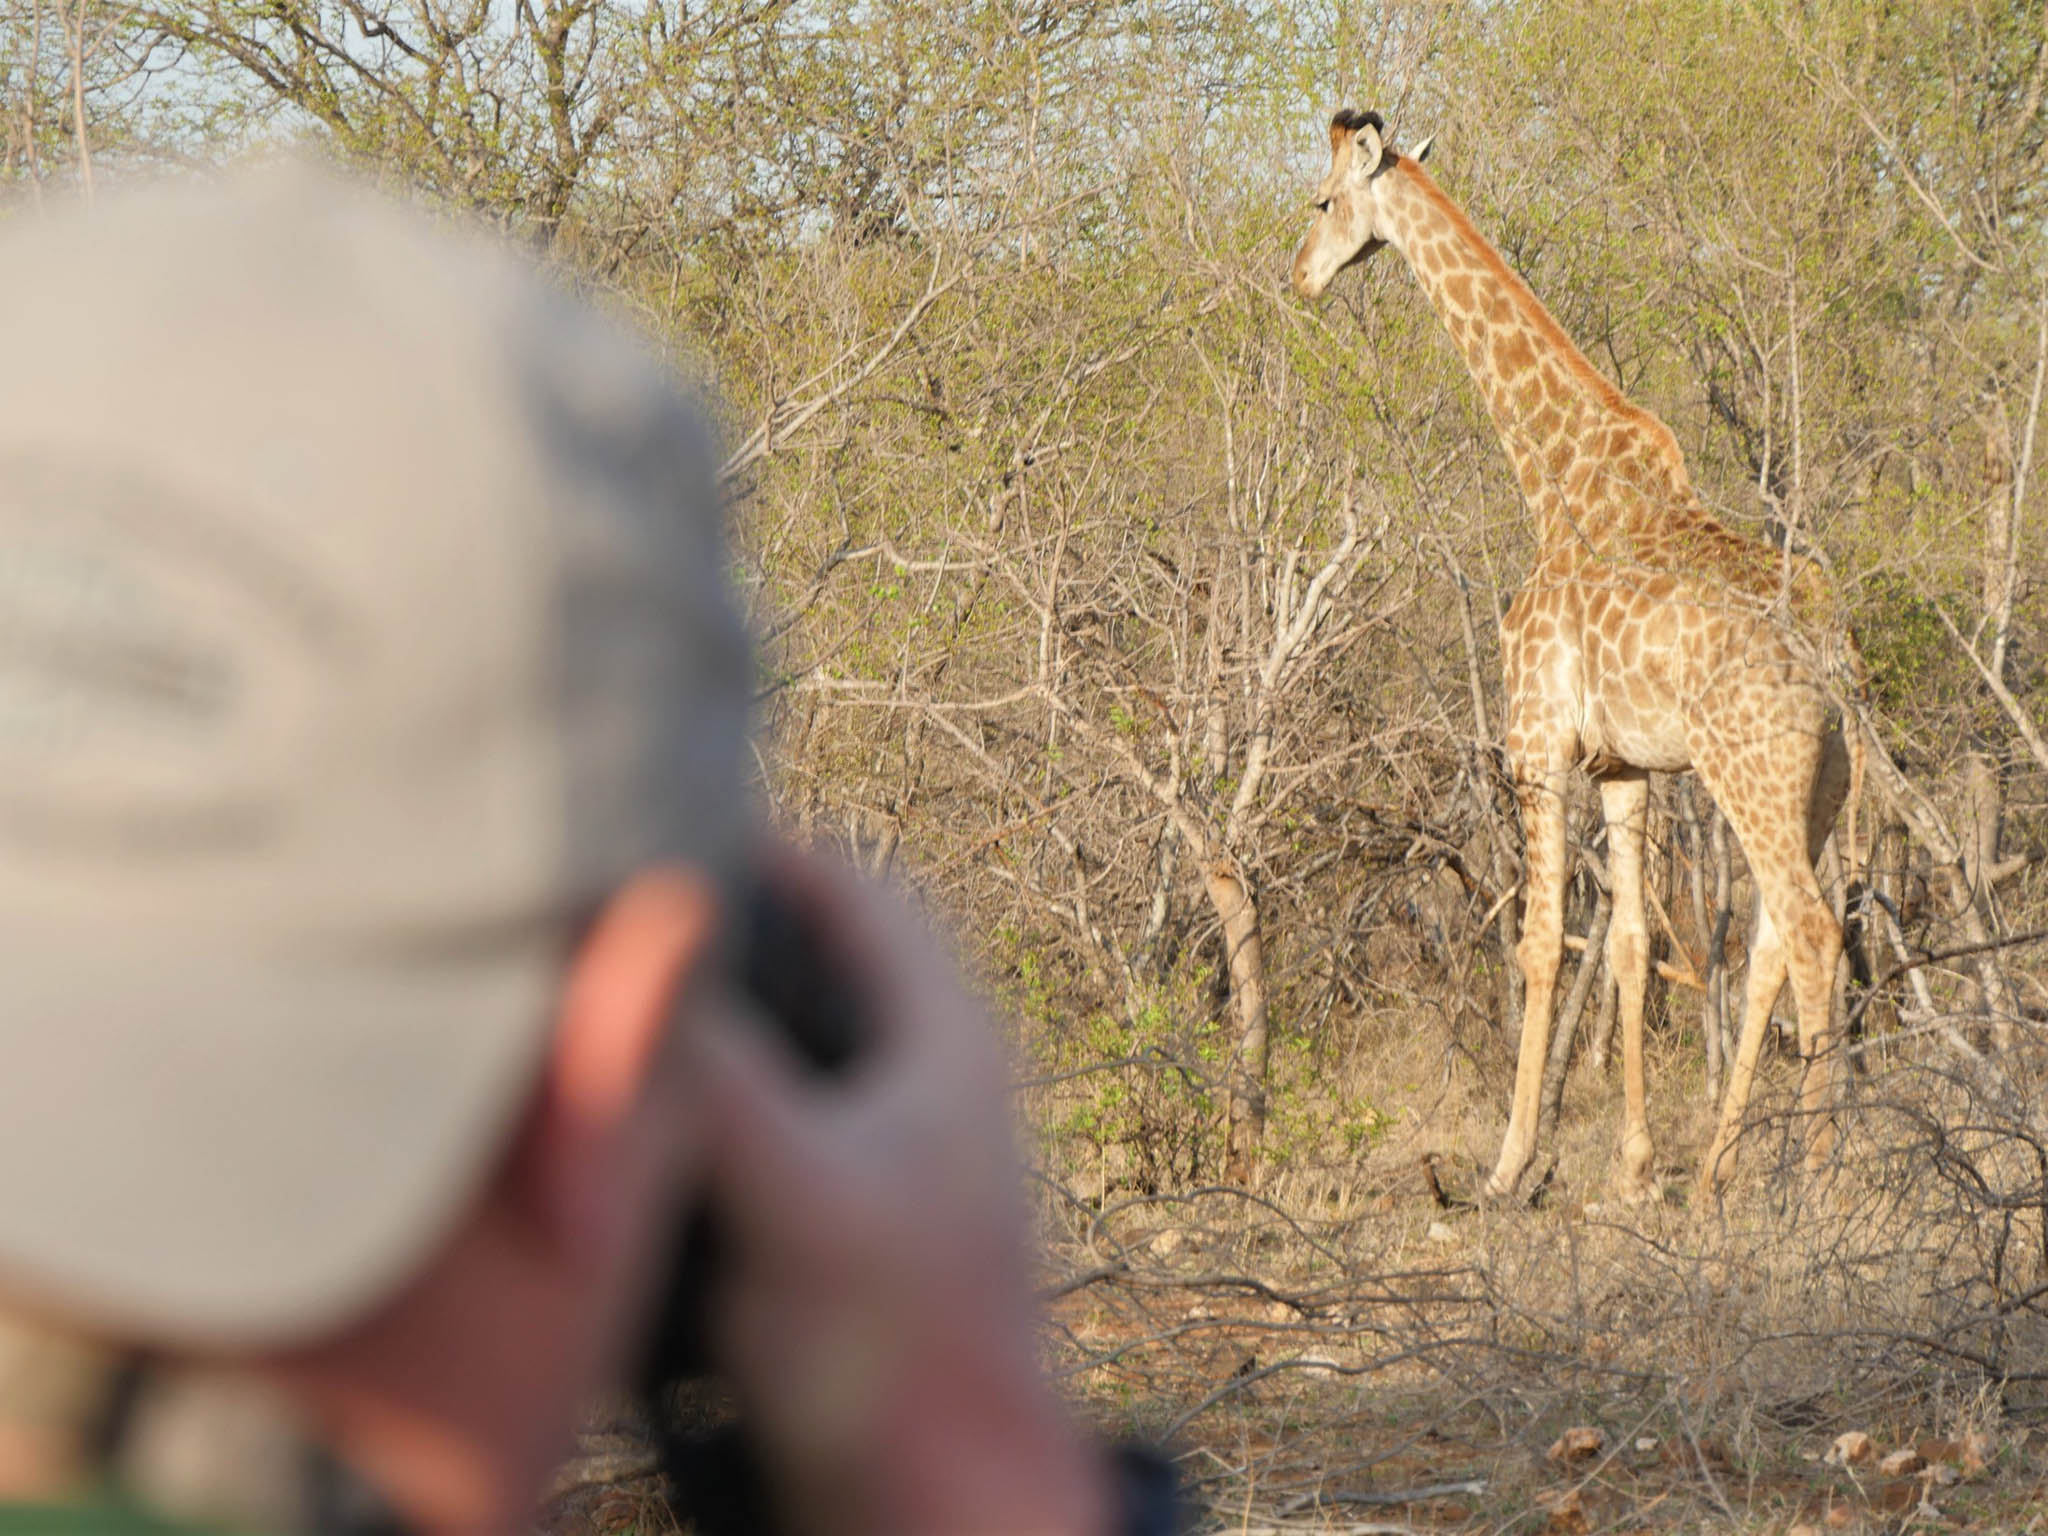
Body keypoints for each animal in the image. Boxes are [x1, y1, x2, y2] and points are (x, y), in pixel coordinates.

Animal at [1292, 110, 1858, 1201]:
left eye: (1325, 200)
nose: (1299, 276)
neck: (1550, 477)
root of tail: (1829, 646)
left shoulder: (1535, 746)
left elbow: (1541, 943)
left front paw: (1510, 1164)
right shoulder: (1624, 767)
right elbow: (1629, 944)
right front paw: (1635, 1167)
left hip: (1751, 772)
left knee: (1809, 933)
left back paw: (1814, 1179)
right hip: (1823, 785)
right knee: (1777, 934)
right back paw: (1714, 1172)